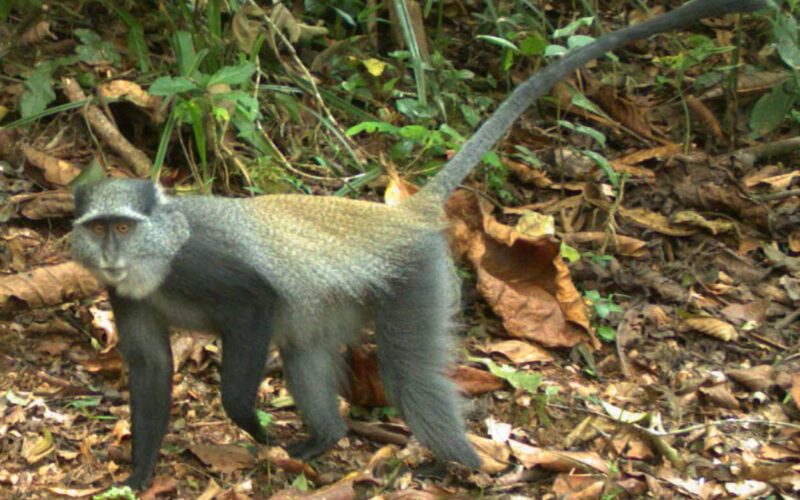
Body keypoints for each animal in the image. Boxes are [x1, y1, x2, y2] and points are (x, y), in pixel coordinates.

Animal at [70, 0, 768, 488]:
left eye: (123, 226)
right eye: (97, 228)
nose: (111, 254)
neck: (159, 256)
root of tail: (403, 217)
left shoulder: (208, 268)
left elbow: (252, 307)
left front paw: (247, 420)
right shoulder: (127, 298)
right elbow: (152, 371)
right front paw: (138, 476)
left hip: (415, 278)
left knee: (412, 377)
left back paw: (474, 469)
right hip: (338, 303)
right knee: (305, 352)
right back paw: (326, 439)